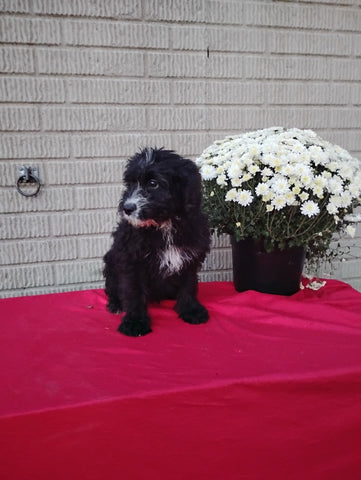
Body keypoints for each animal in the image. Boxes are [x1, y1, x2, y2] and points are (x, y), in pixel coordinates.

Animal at [102, 148, 210, 336]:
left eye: (153, 183)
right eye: (130, 184)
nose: (127, 208)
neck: (164, 224)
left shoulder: (190, 256)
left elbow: (188, 284)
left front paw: (191, 310)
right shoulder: (131, 260)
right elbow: (133, 291)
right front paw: (135, 321)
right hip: (111, 264)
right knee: (113, 289)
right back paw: (116, 304)